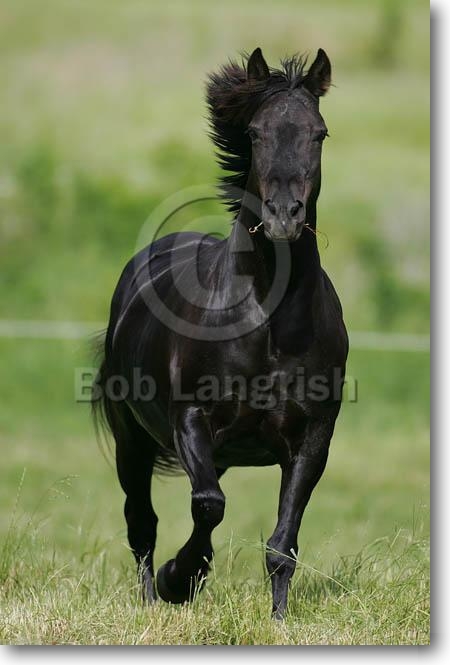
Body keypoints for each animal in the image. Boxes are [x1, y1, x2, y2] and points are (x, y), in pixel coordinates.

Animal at [93, 47, 348, 619]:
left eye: (319, 134)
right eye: (255, 132)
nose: (282, 217)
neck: (268, 323)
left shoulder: (313, 439)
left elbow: (282, 543)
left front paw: (278, 619)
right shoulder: (191, 419)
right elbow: (208, 506)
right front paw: (179, 579)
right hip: (130, 440)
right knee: (141, 522)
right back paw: (152, 598)